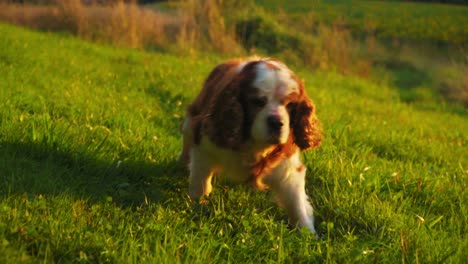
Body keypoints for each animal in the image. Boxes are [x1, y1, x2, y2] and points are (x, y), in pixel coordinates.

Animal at [179, 56, 322, 233]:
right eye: (258, 101)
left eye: (290, 105)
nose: (276, 122)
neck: (254, 144)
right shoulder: (204, 147)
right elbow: (201, 183)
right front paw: (199, 206)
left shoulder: (288, 170)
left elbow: (297, 204)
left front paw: (308, 233)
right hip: (189, 124)